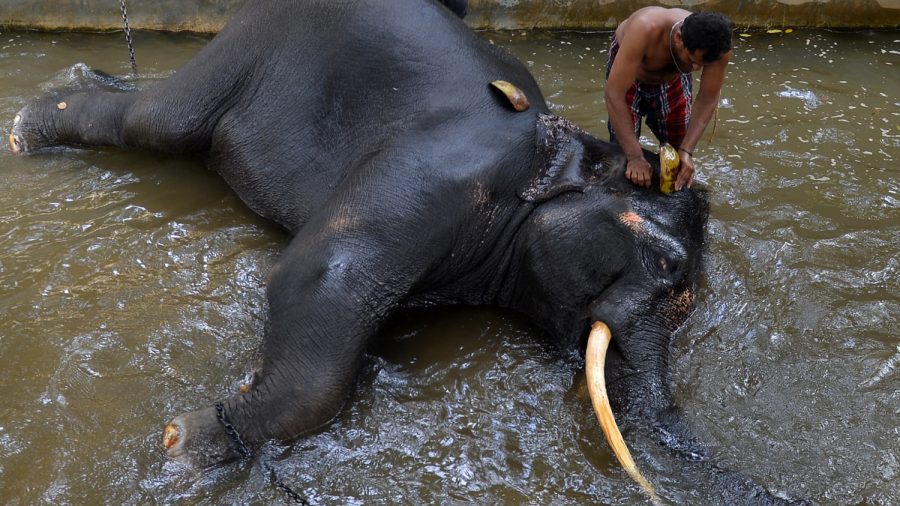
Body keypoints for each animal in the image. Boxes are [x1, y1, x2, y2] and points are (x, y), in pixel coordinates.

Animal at [8, 0, 805, 503]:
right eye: (666, 268)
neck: (560, 148)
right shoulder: (432, 173)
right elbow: (320, 273)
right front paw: (187, 445)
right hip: (247, 47)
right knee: (156, 123)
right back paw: (27, 127)